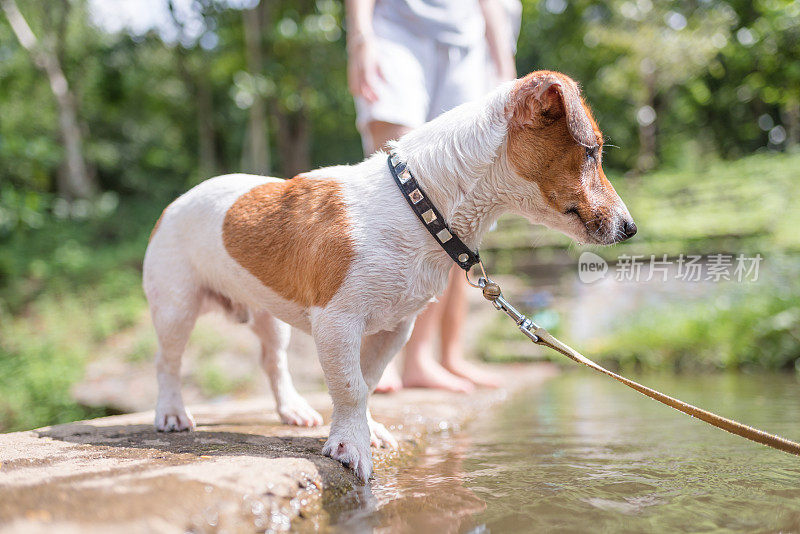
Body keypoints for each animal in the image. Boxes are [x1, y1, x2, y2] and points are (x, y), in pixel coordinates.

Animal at [142, 69, 632, 484]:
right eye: (592, 151)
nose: (630, 228)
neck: (418, 202)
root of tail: (172, 204)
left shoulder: (395, 328)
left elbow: (369, 381)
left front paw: (367, 429)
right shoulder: (337, 321)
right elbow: (351, 386)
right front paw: (350, 445)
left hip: (269, 316)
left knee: (273, 361)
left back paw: (292, 410)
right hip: (175, 307)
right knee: (167, 362)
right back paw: (172, 414)